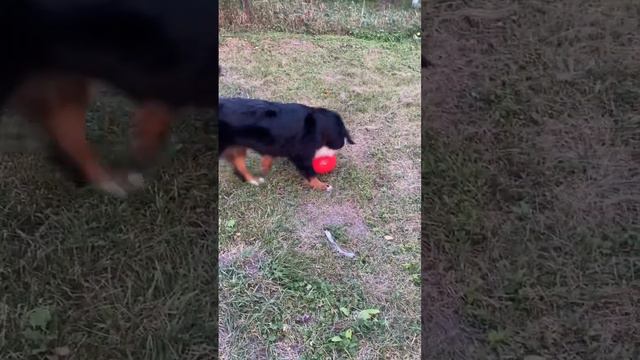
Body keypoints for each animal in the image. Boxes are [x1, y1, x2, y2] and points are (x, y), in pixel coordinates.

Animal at [220, 95, 356, 191]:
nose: (329, 158)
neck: (317, 126)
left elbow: (269, 156)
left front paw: (265, 166)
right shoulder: (301, 155)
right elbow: (310, 173)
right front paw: (322, 186)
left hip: (237, 147)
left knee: (239, 166)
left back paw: (254, 180)